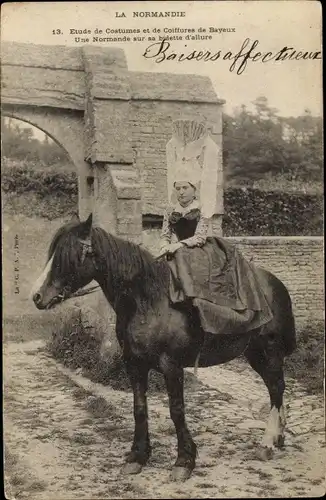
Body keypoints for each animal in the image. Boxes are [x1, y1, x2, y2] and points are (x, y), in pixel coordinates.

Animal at [32, 214, 296, 480]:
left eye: (67, 254)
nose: (37, 296)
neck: (148, 300)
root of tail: (275, 284)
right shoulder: (134, 364)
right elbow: (139, 408)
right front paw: (138, 456)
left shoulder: (172, 366)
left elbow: (176, 410)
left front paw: (184, 461)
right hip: (254, 354)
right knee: (275, 390)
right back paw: (278, 438)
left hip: (269, 351)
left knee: (276, 389)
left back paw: (267, 444)